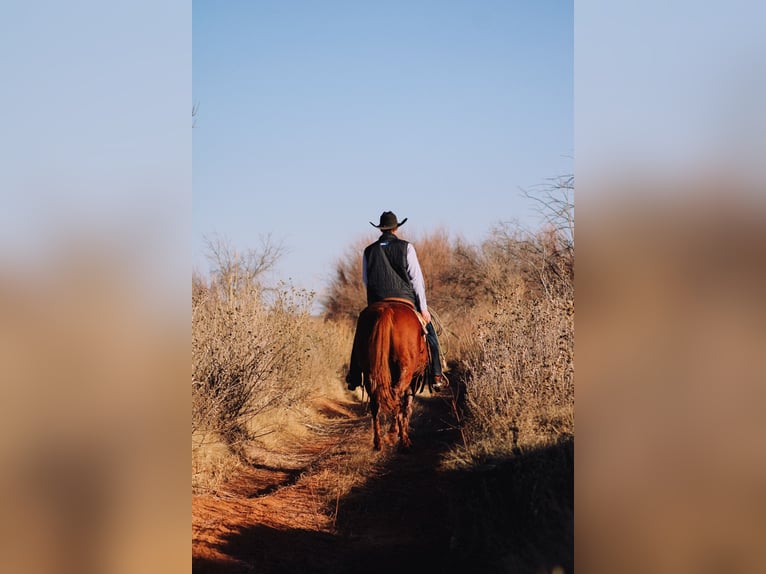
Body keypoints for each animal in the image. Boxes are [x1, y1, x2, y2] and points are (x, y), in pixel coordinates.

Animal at [352, 300, 428, 452]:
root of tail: (386, 310)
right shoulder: (413, 381)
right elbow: (407, 407)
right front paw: (403, 436)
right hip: (405, 371)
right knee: (396, 395)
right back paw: (395, 436)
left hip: (370, 373)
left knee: (375, 402)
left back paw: (378, 443)